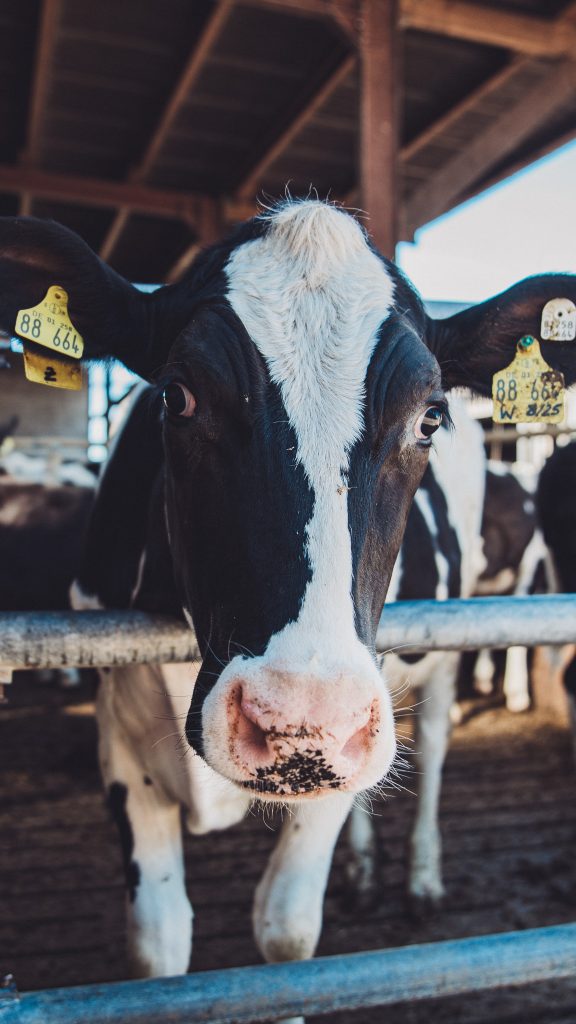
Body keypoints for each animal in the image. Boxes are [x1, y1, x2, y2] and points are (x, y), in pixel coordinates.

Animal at [1, 203, 575, 984]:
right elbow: (158, 941)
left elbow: (287, 930)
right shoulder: (117, 730)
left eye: (428, 418)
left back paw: (422, 878)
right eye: (176, 396)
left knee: (432, 743)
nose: (301, 724)